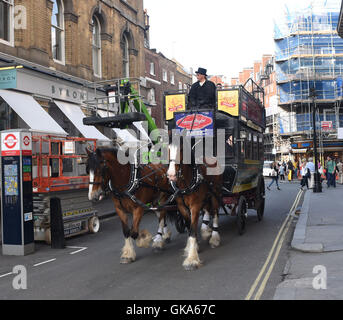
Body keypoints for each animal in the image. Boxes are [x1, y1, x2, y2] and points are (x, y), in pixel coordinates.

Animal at [166, 138, 223, 270]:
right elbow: (189, 226)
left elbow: (192, 230)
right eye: (167, 149)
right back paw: (206, 230)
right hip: (207, 196)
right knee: (207, 210)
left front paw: (192, 259)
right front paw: (193, 247)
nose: (171, 174)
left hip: (215, 194)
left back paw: (214, 238)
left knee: (215, 213)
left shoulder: (195, 206)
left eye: (181, 150)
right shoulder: (182, 207)